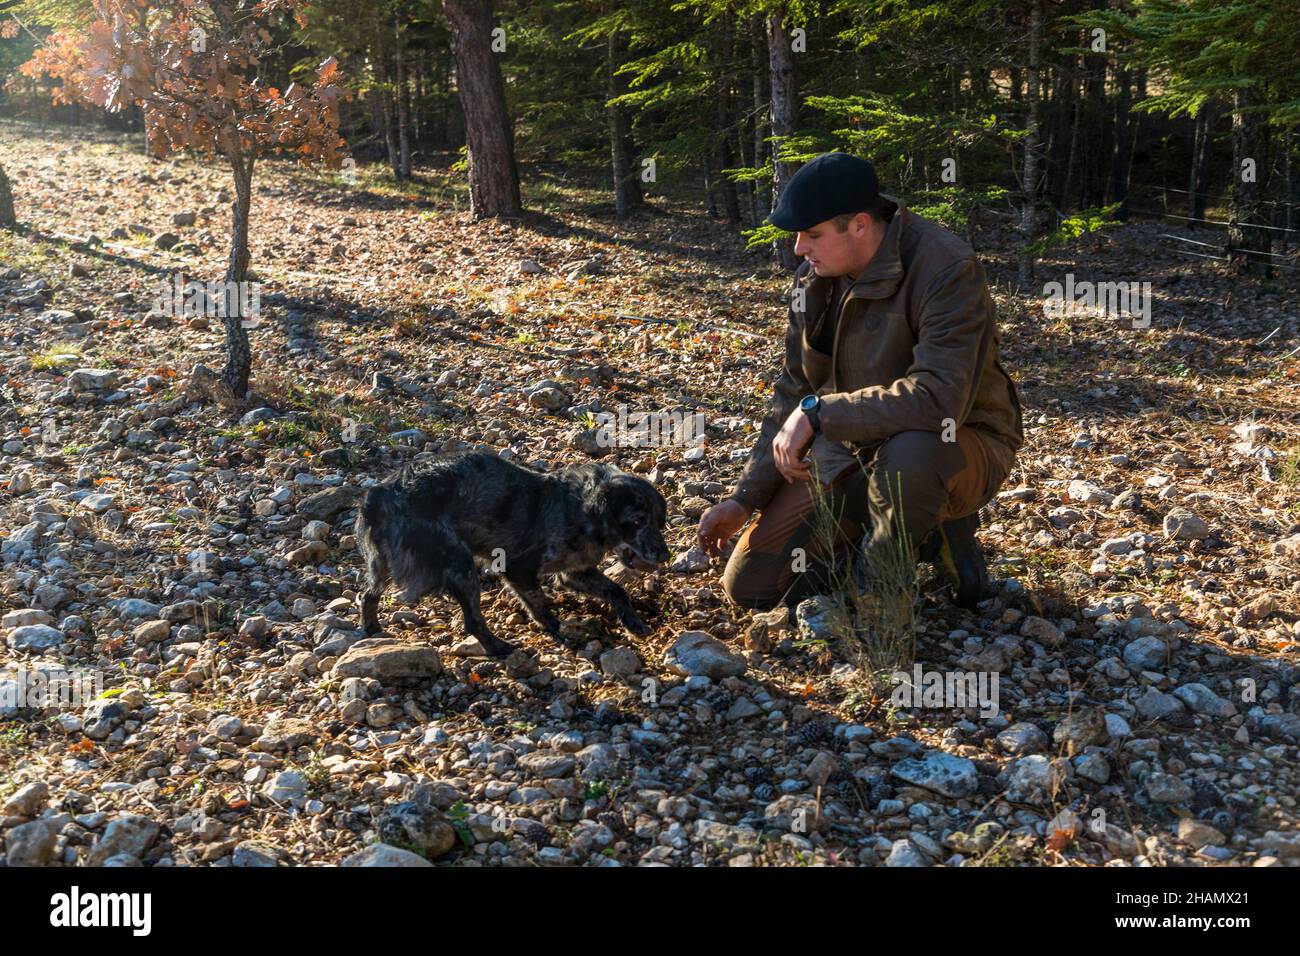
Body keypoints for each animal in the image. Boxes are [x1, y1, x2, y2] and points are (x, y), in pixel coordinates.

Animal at [356, 452, 670, 655]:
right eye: (638, 520)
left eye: (659, 521)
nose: (665, 556)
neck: (580, 509)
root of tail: (380, 494)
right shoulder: (517, 569)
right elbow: (539, 603)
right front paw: (557, 629)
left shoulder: (574, 573)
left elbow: (617, 591)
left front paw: (632, 622)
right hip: (461, 565)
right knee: (473, 621)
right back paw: (500, 648)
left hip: (382, 567)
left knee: (368, 595)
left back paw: (372, 629)